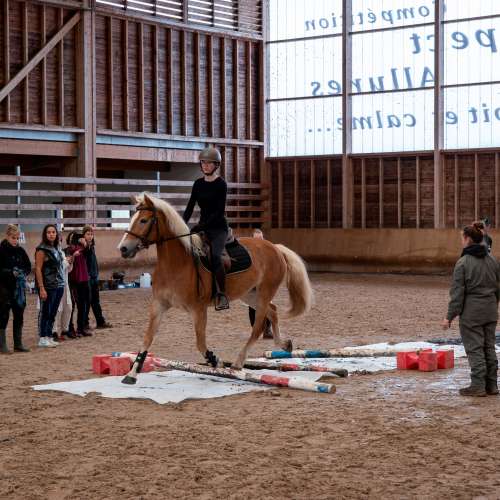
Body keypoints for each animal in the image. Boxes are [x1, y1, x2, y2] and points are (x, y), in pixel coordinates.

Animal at [117, 193, 312, 384]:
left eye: (143, 220)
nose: (123, 248)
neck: (176, 264)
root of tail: (275, 248)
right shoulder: (159, 305)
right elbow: (147, 338)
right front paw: (132, 374)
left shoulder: (198, 309)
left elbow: (200, 343)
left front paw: (216, 361)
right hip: (250, 294)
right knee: (273, 310)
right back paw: (284, 344)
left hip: (264, 293)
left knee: (258, 328)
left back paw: (238, 362)